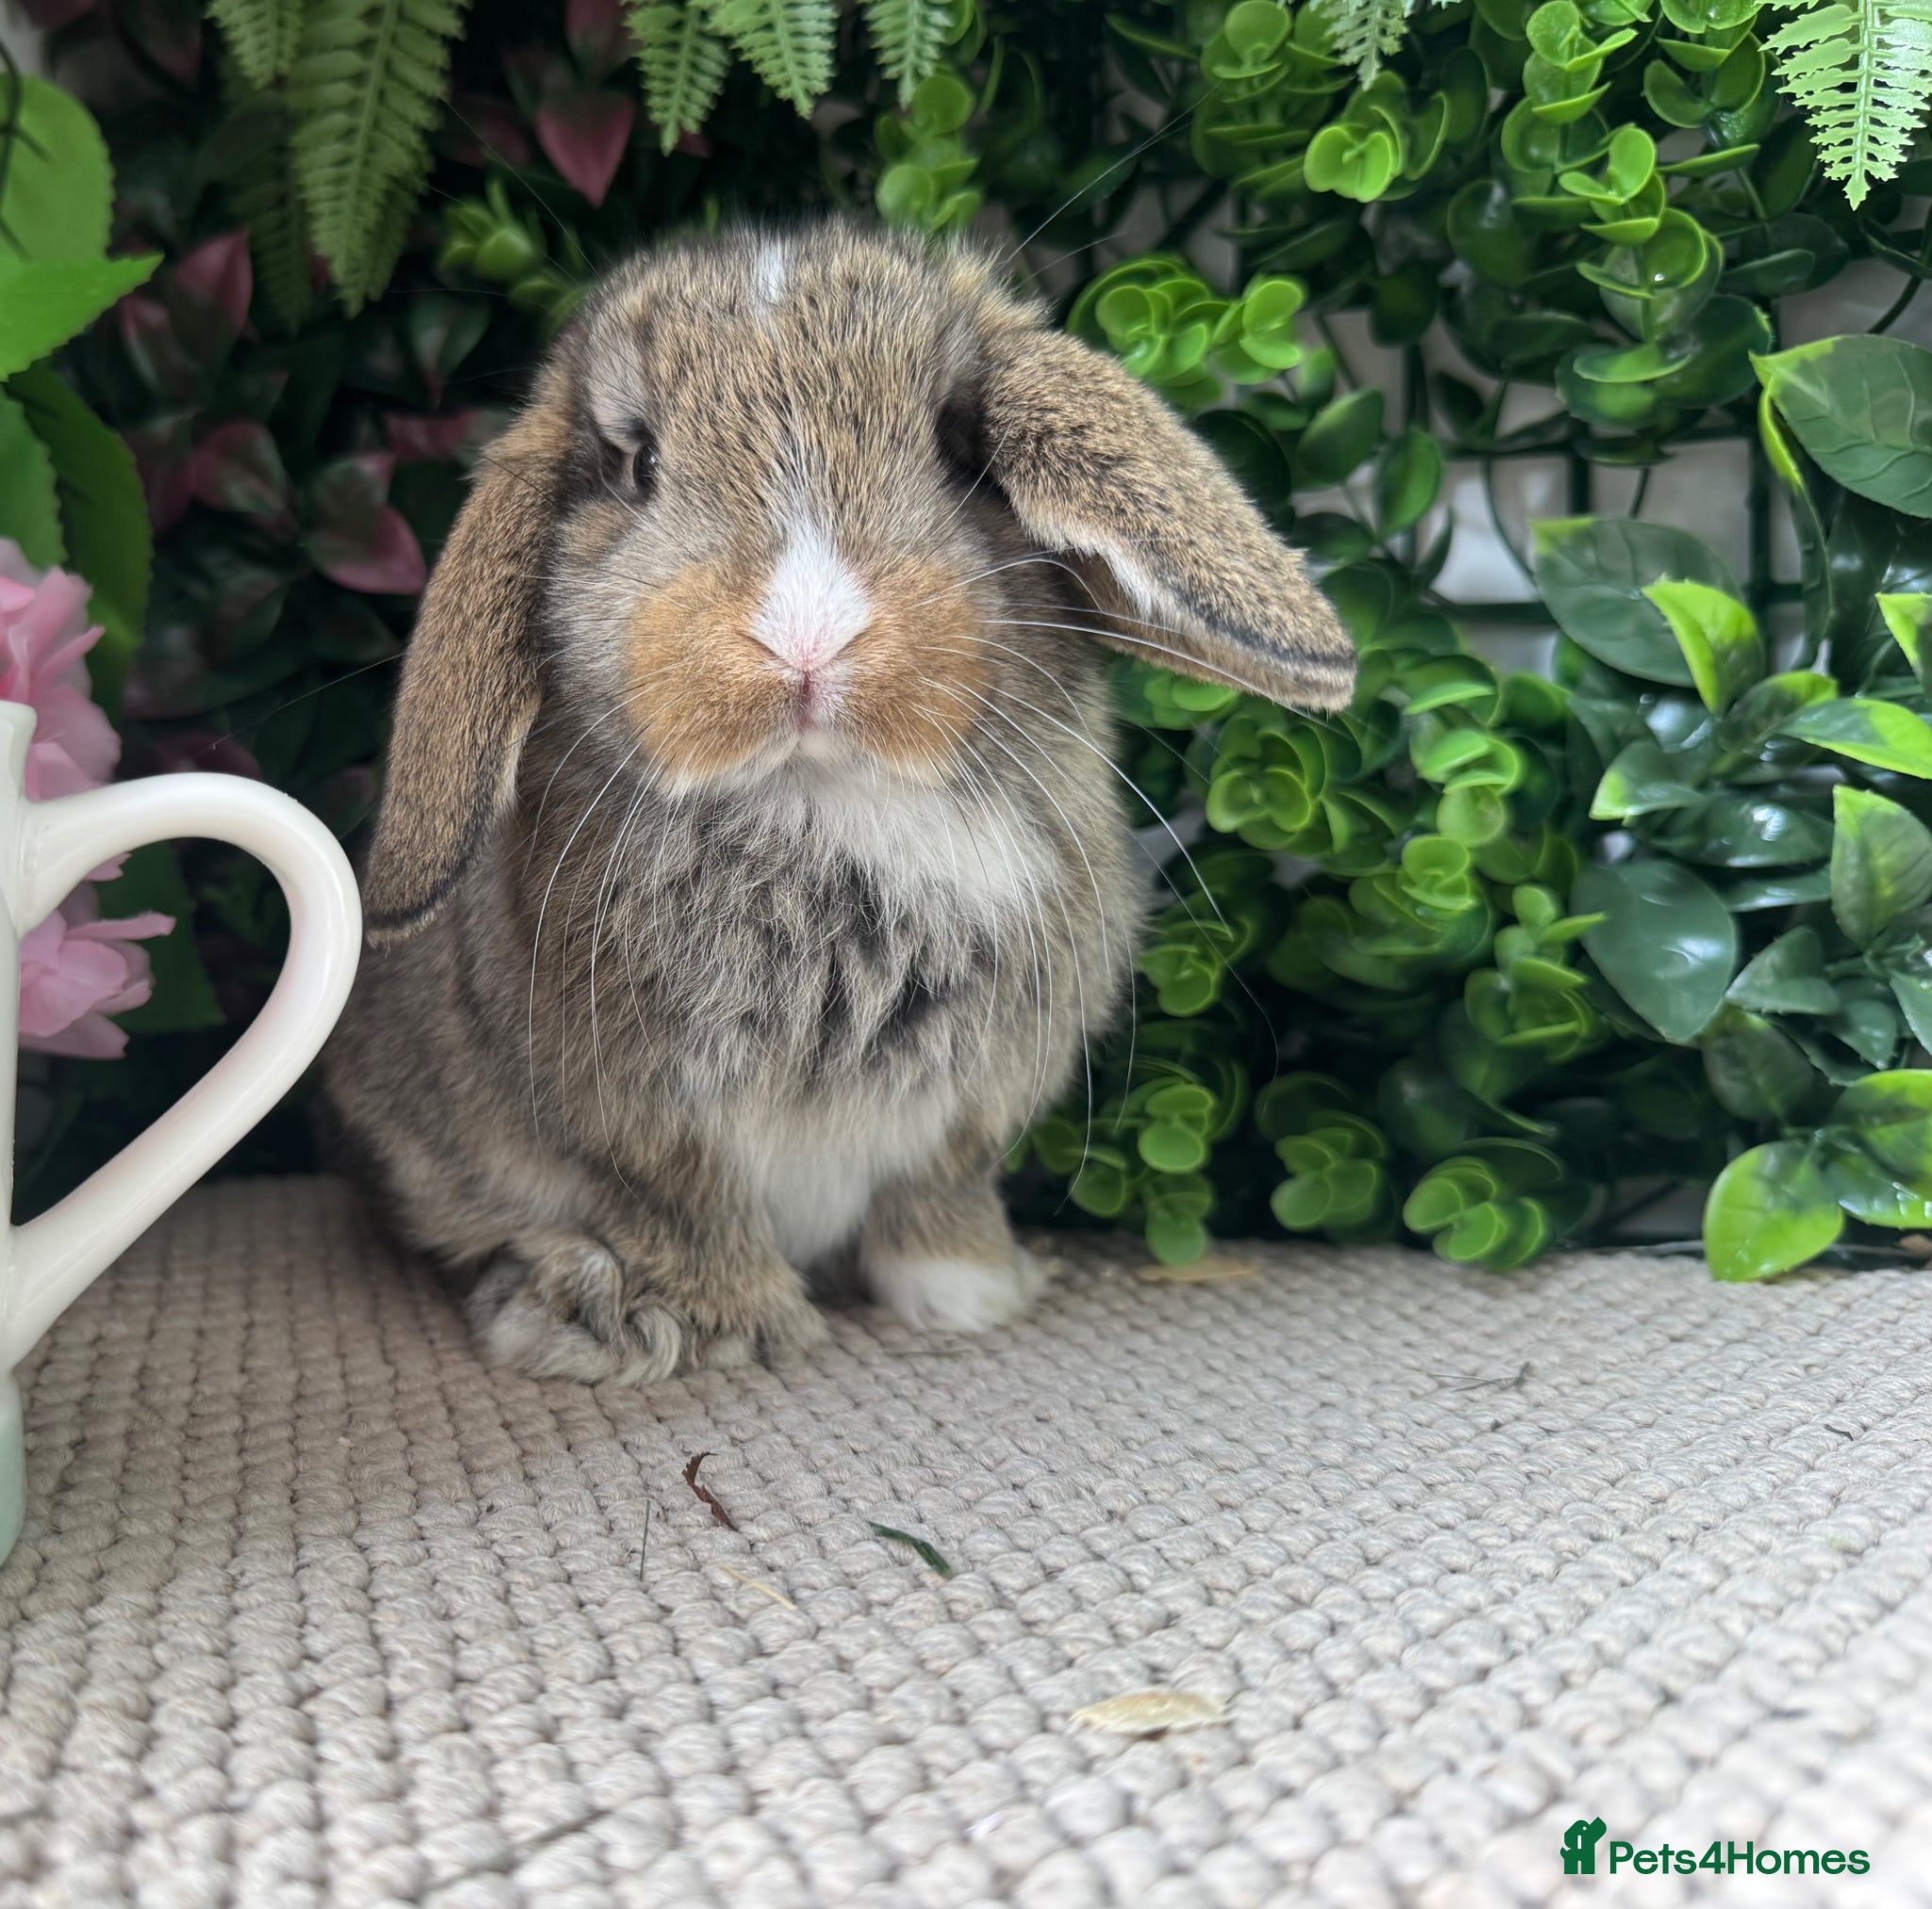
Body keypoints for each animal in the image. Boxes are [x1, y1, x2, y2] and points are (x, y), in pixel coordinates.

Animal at [324, 220, 1357, 1385]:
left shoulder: (966, 1114)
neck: (828, 804)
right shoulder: (632, 1129)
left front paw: (970, 1294)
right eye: (634, 463)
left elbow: (933, 1198)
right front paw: (716, 1323)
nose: (806, 637)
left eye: (959, 444)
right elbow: (684, 1210)